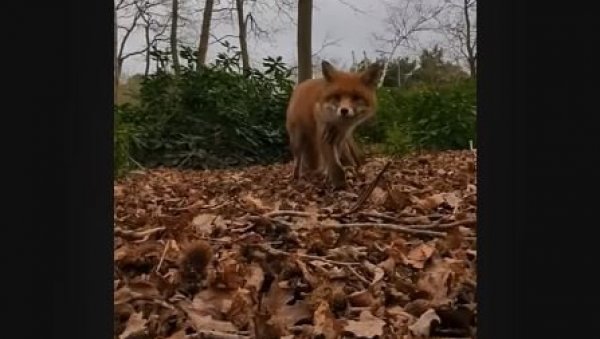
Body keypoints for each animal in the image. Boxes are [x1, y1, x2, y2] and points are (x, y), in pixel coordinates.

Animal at [284, 61, 380, 189]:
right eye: (337, 96)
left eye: (356, 97)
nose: (344, 110)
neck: (339, 125)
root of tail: (302, 83)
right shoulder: (325, 136)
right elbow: (335, 166)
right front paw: (340, 185)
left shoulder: (339, 138)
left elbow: (334, 162)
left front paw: (331, 179)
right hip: (297, 141)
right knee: (297, 160)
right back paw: (297, 176)